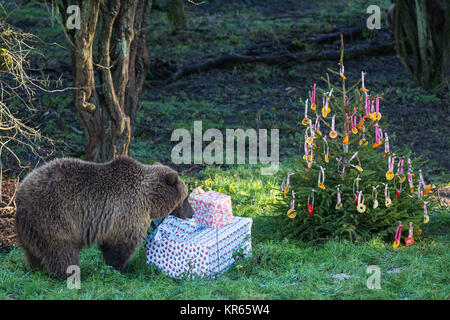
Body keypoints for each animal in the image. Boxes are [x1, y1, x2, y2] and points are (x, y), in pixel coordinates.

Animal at [14, 155, 190, 278]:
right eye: (186, 197)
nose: (191, 213)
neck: (149, 199)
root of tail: (20, 194)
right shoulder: (127, 211)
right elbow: (121, 246)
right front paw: (122, 268)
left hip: (30, 228)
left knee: (33, 252)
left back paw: (35, 268)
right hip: (54, 217)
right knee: (61, 250)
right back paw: (68, 273)